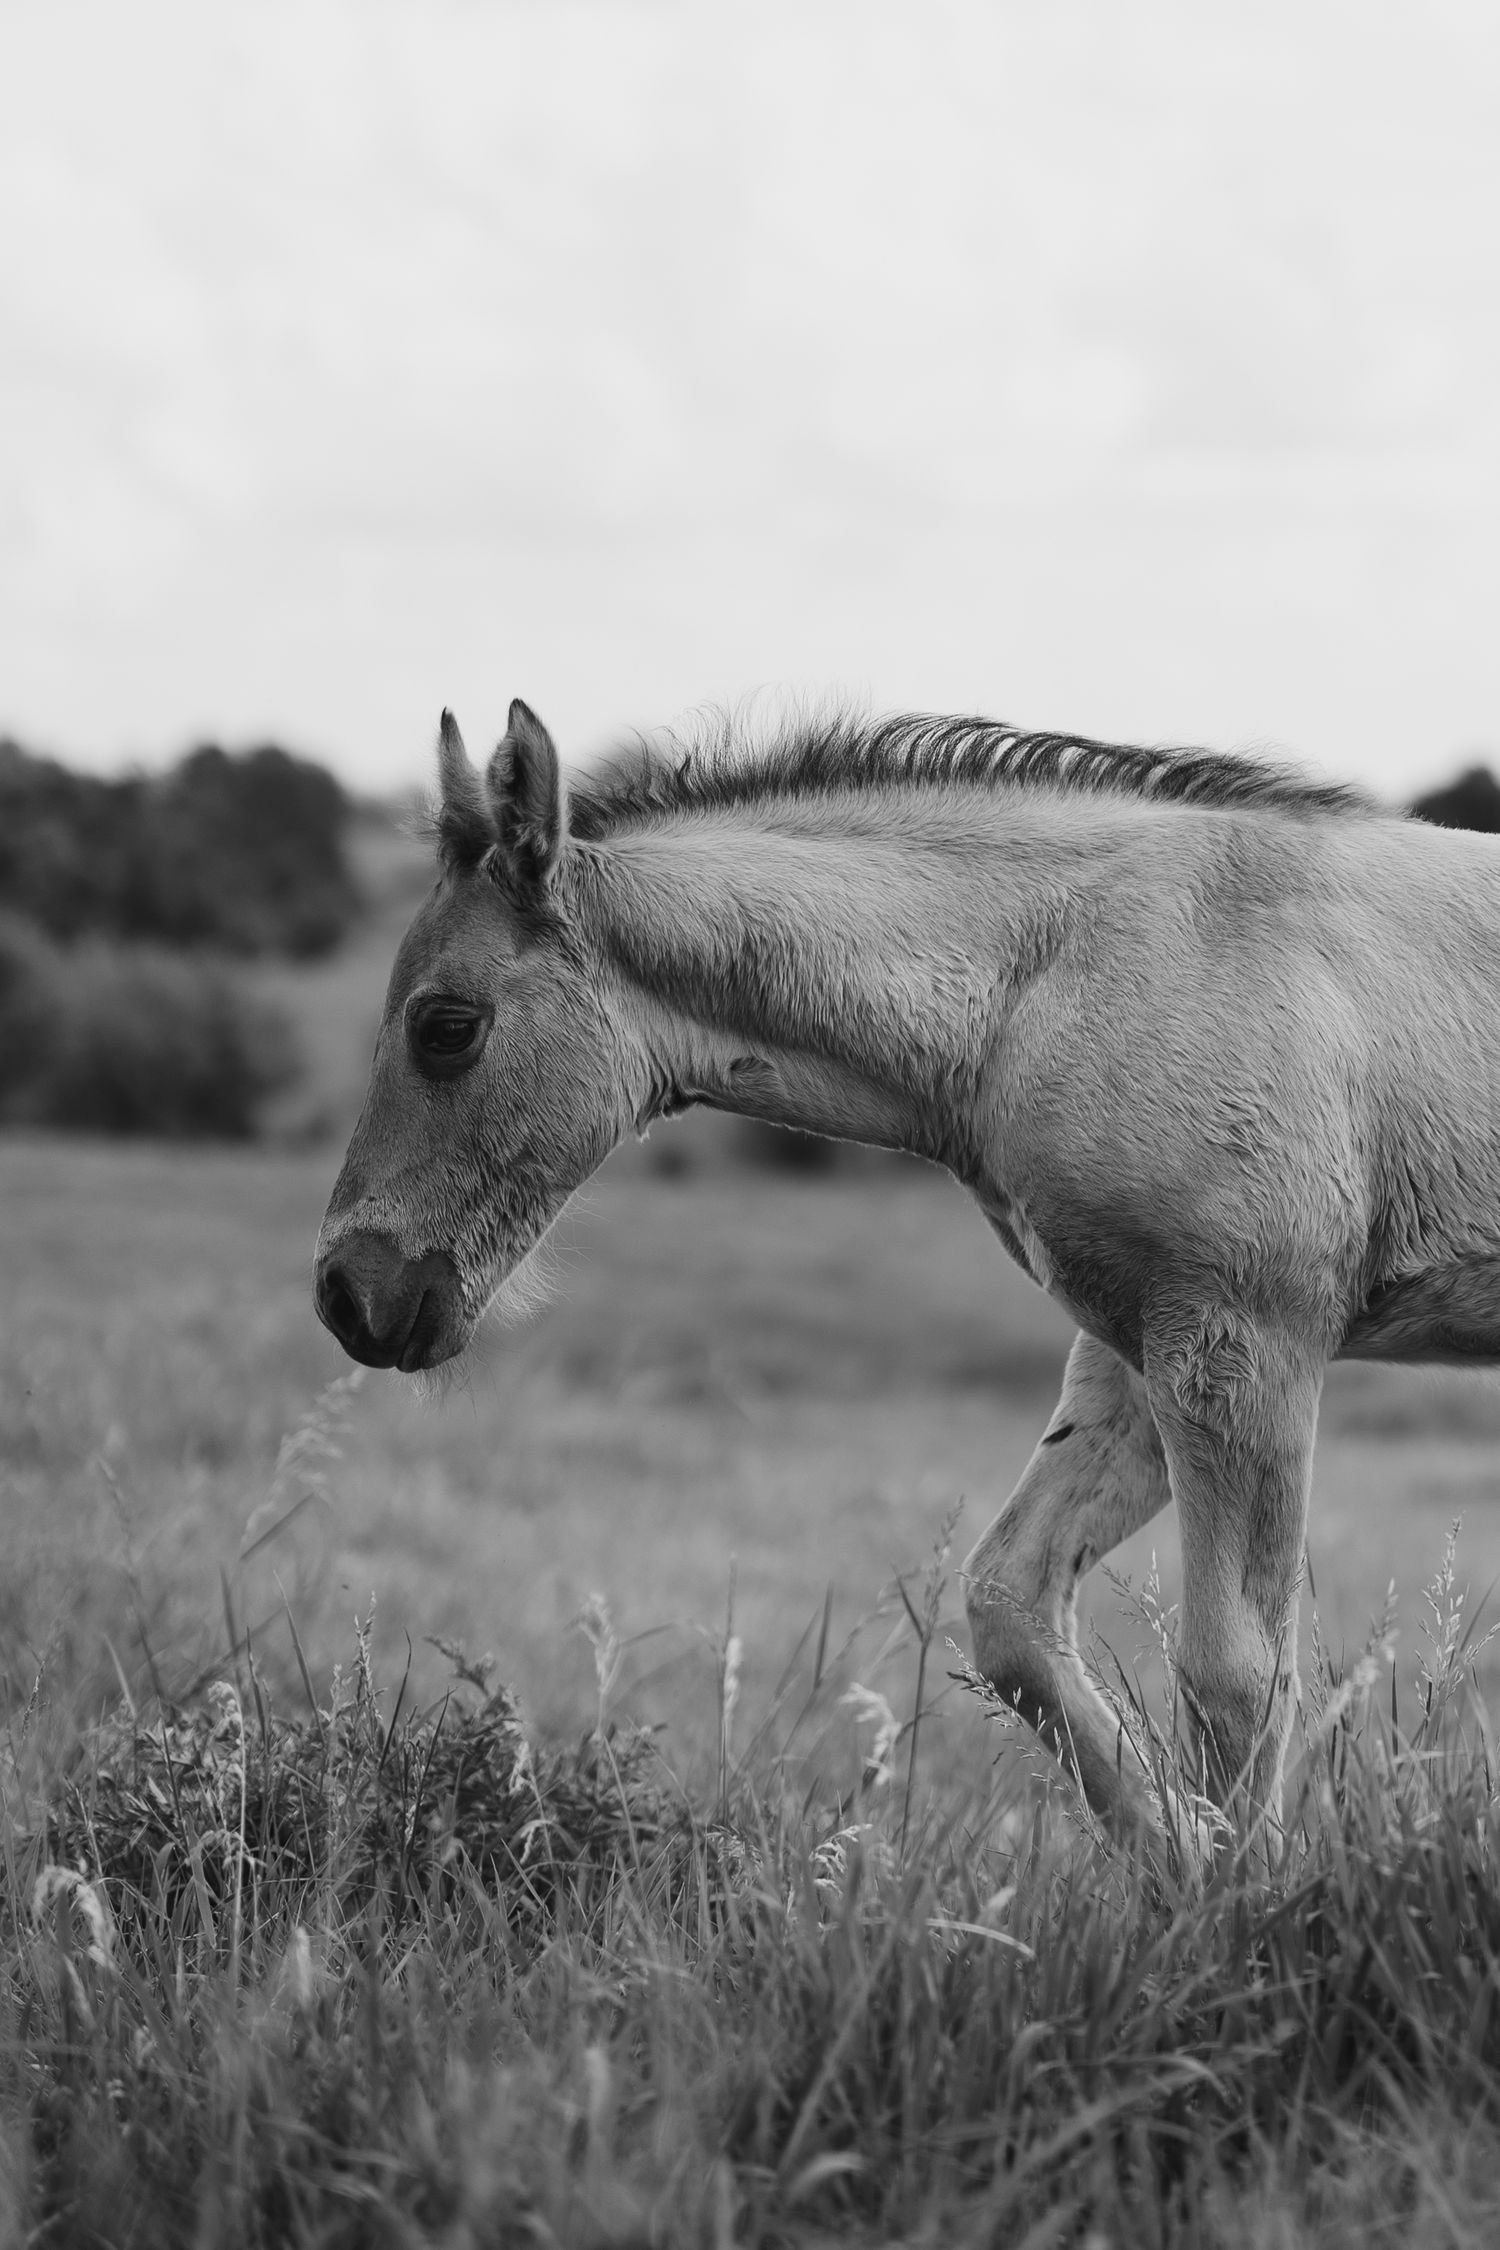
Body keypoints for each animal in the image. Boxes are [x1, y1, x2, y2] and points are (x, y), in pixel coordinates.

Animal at [314, 698, 1500, 1865]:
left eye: (447, 1026)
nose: (348, 1293)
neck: (1066, 973)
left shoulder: (1242, 1339)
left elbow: (1237, 1674)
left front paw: (1246, 1910)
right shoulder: (1133, 1343)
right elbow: (1012, 1606)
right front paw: (1182, 1870)